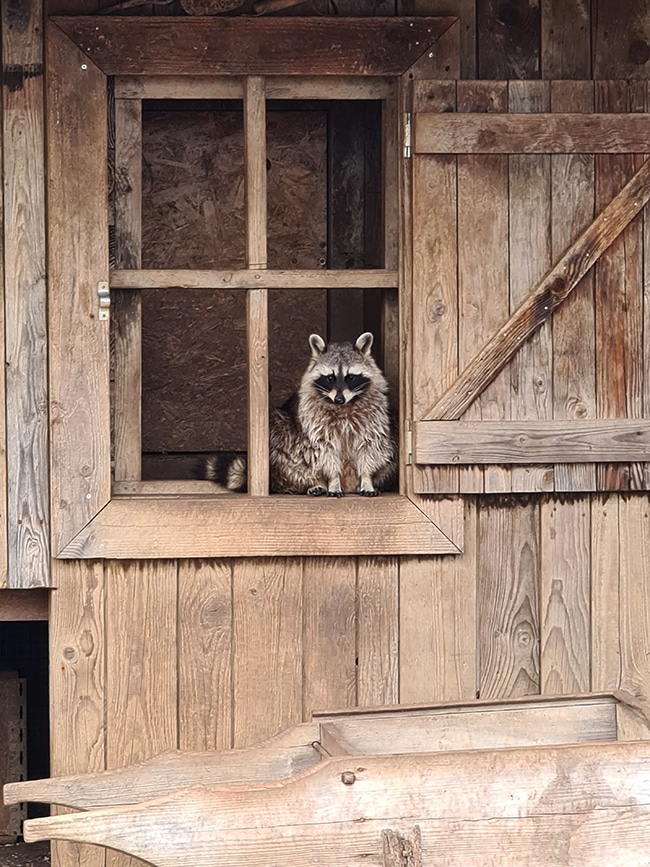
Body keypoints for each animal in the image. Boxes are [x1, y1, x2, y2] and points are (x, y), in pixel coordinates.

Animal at [204, 330, 394, 496]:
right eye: (330, 378)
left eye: (351, 377)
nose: (339, 399)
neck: (344, 406)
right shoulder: (315, 419)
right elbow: (325, 451)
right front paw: (333, 480)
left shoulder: (373, 415)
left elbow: (370, 446)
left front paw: (367, 479)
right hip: (282, 434)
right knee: (294, 451)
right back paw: (314, 482)